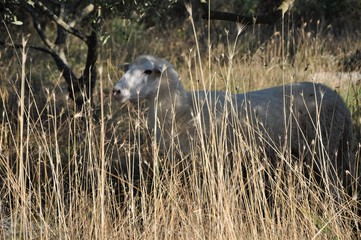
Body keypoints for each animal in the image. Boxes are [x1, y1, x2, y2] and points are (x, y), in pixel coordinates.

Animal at [113, 55, 354, 198]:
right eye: (129, 68)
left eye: (147, 71)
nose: (116, 90)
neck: (183, 108)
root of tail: (339, 100)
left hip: (325, 148)